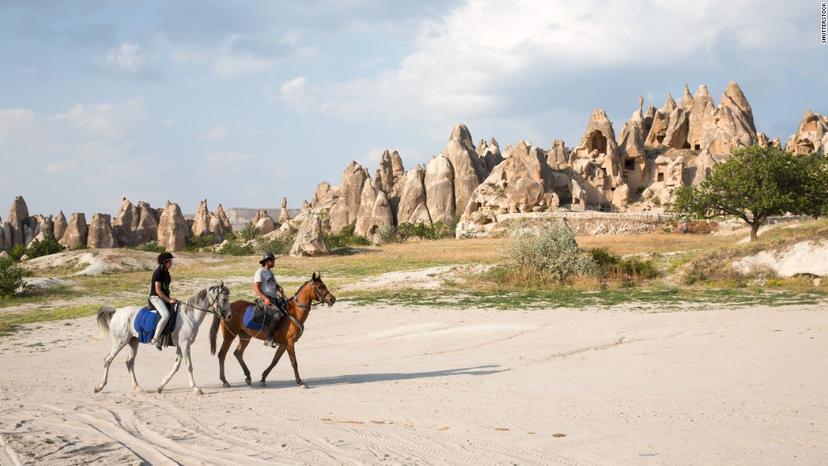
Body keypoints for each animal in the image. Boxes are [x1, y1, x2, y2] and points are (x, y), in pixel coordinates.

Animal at [94, 282, 230, 396]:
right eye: (224, 299)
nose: (229, 316)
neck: (189, 316)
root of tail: (116, 312)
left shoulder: (180, 346)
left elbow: (176, 367)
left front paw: (160, 386)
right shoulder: (185, 344)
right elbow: (189, 366)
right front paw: (196, 388)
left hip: (133, 342)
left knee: (129, 362)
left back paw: (137, 387)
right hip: (120, 342)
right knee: (108, 360)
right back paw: (99, 387)